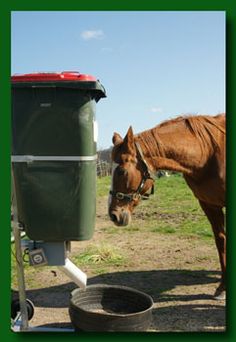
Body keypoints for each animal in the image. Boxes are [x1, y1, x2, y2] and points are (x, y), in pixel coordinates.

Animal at [108, 113, 226, 298]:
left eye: (121, 171)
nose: (113, 215)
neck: (208, 153)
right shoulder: (209, 205)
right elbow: (221, 241)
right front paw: (222, 287)